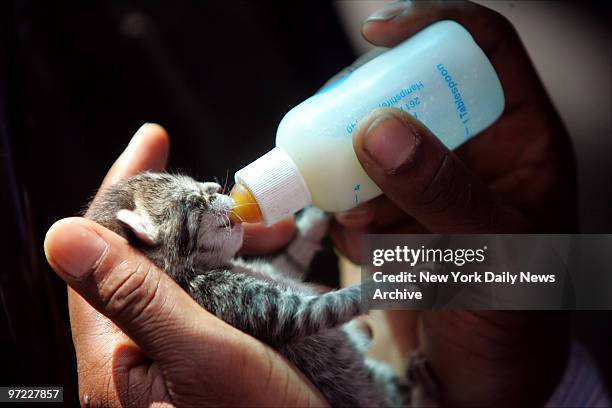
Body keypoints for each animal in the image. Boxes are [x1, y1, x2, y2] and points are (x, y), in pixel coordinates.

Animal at [83, 171, 404, 406]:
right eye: (196, 201)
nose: (215, 187)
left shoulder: (274, 268)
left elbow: (291, 255)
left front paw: (316, 218)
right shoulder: (240, 301)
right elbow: (323, 307)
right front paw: (389, 284)